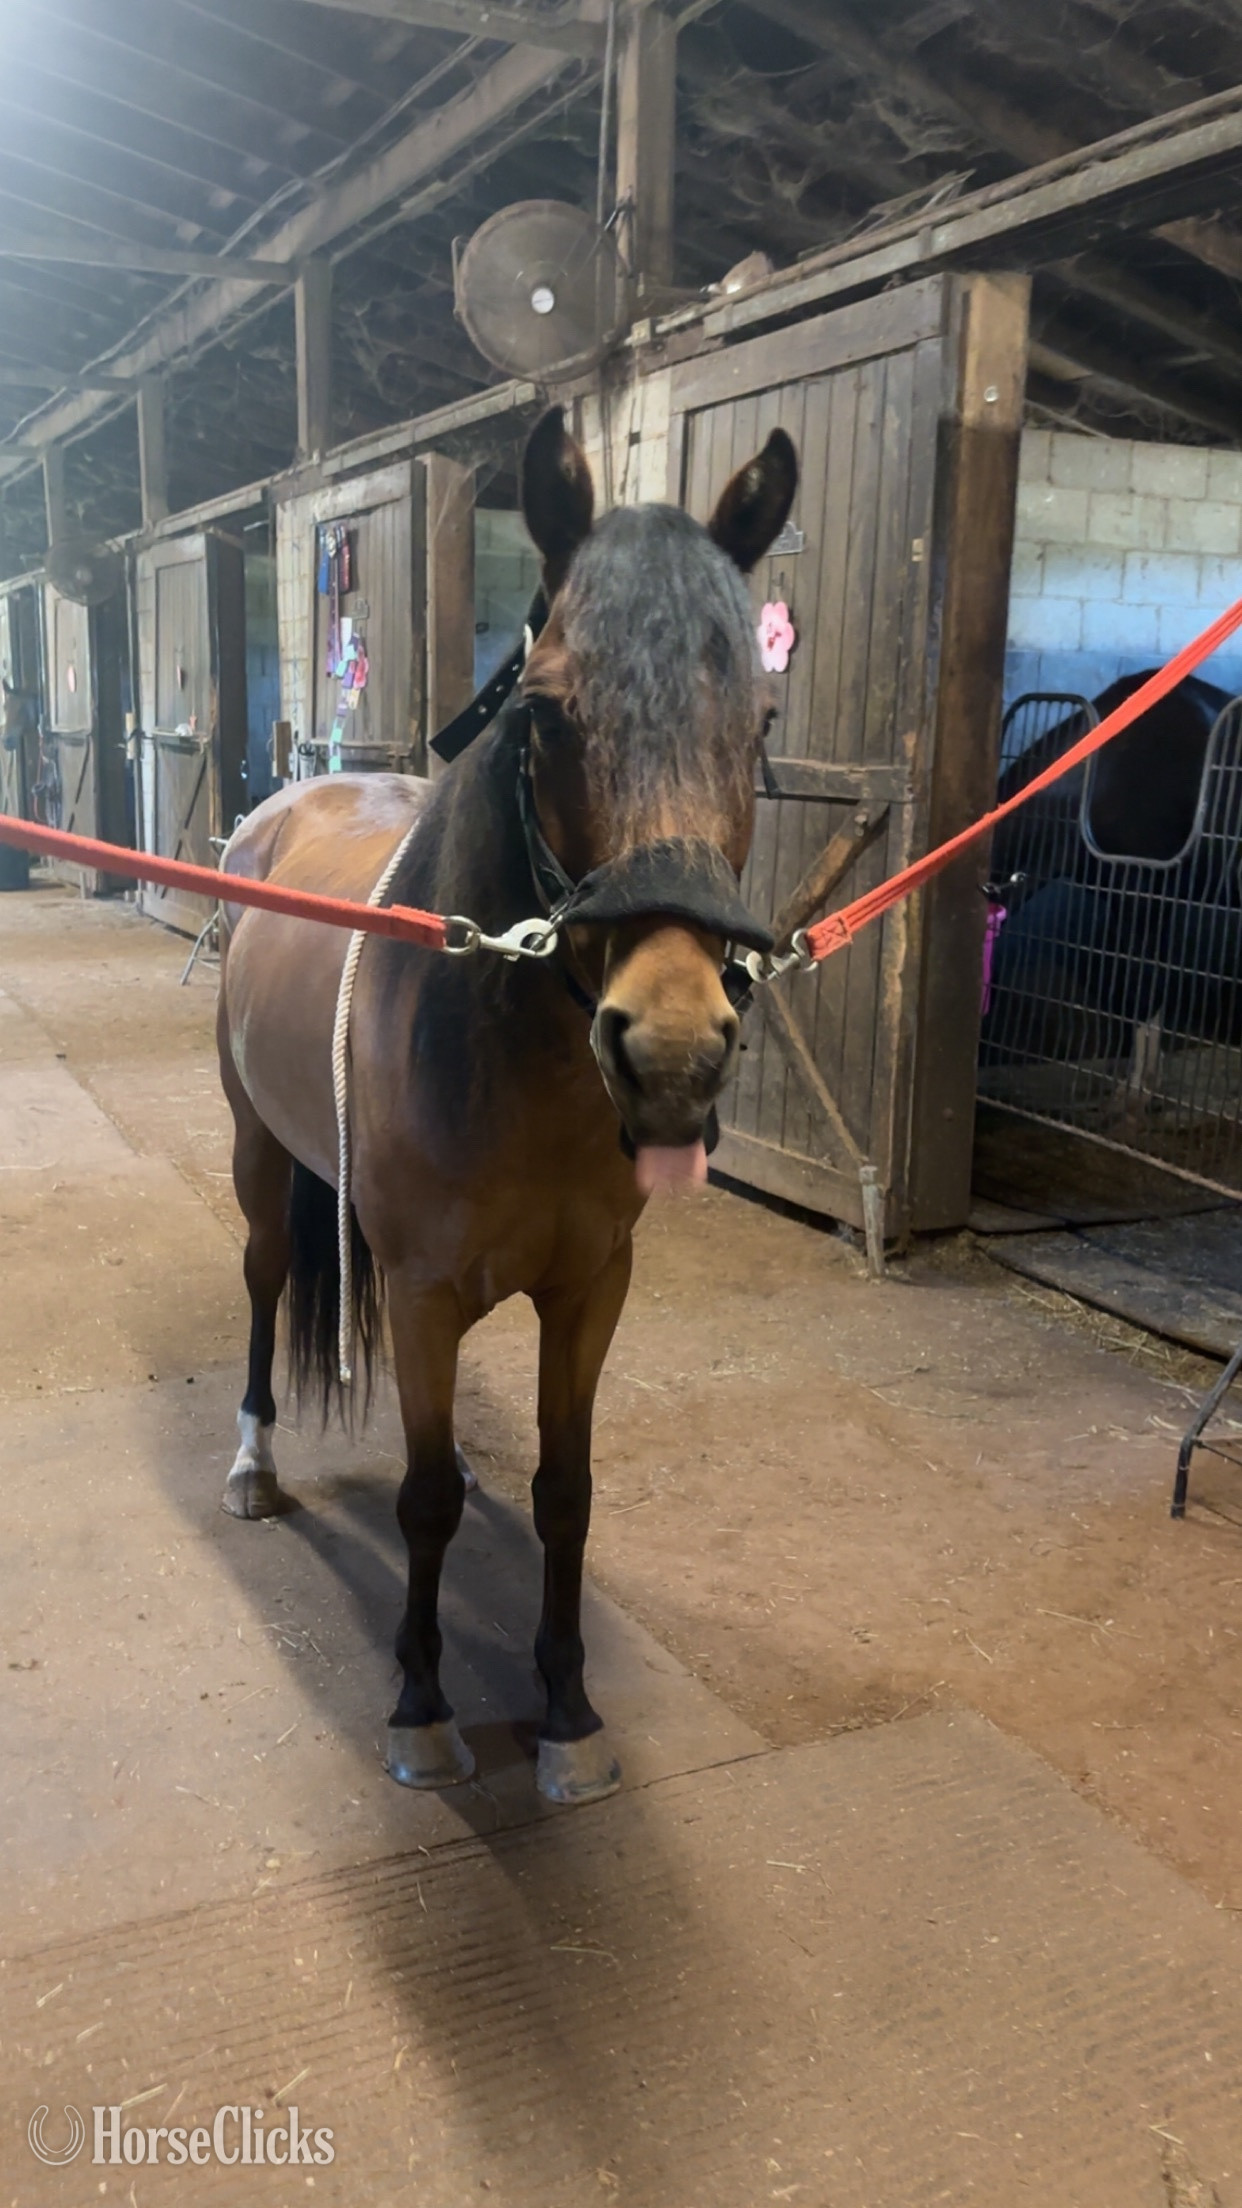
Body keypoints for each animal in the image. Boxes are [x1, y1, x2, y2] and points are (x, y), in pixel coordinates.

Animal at [216, 406, 797, 1806]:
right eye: (545, 712)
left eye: (758, 719)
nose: (674, 1052)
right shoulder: (424, 1290)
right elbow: (422, 1502)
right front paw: (422, 1706)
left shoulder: (589, 1290)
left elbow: (566, 1491)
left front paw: (569, 1713)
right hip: (257, 1152)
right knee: (264, 1278)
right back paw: (253, 1463)